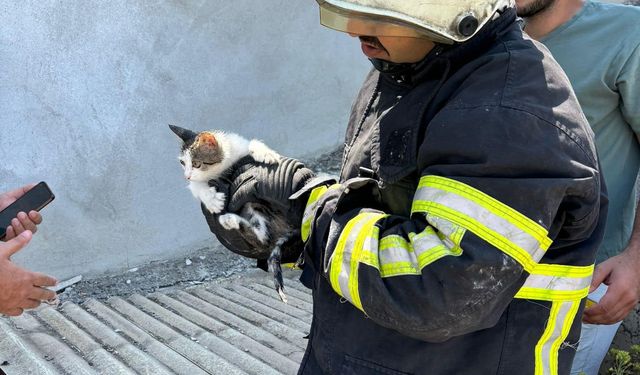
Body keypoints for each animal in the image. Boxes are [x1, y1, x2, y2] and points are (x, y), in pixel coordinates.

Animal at [170, 125, 300, 304]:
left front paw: (266, 154)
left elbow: (251, 143)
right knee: (262, 237)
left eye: (196, 164)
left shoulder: (239, 148)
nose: (186, 176)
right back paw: (229, 220)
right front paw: (211, 200)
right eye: (182, 163)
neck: (222, 167)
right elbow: (196, 186)